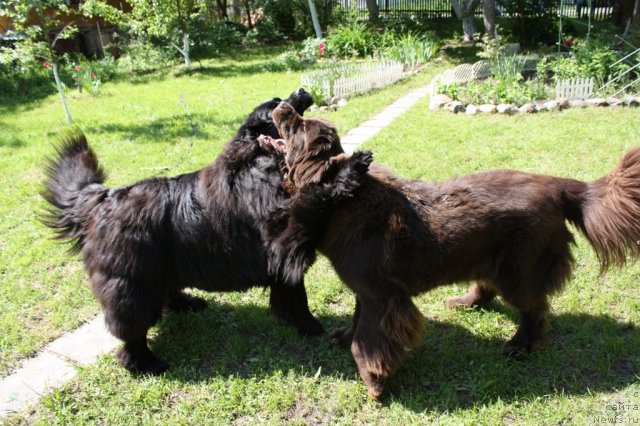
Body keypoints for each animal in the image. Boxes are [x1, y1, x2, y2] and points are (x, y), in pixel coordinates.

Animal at [43, 90, 328, 372]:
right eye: (276, 104)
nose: (301, 91)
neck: (261, 162)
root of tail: (103, 198)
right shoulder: (284, 258)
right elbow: (298, 299)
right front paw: (311, 327)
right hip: (130, 285)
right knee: (131, 331)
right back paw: (145, 362)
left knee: (167, 292)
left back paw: (187, 304)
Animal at [266, 100, 640, 400]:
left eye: (299, 126)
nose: (282, 103)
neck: (342, 200)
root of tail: (556, 185)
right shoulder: (368, 290)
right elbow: (358, 321)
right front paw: (345, 337)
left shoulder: (383, 296)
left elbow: (369, 340)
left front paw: (374, 382)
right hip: (493, 258)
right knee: (492, 287)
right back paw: (466, 302)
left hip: (520, 269)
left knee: (536, 309)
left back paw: (521, 345)